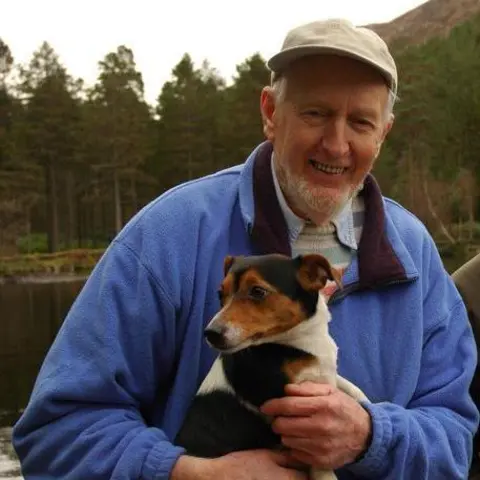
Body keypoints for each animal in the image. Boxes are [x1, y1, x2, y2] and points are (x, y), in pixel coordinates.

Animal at [174, 253, 370, 478]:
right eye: (220, 293)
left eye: (258, 291)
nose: (211, 333)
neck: (294, 341)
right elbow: (317, 461)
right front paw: (325, 475)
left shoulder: (322, 373)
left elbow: (344, 383)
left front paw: (363, 399)